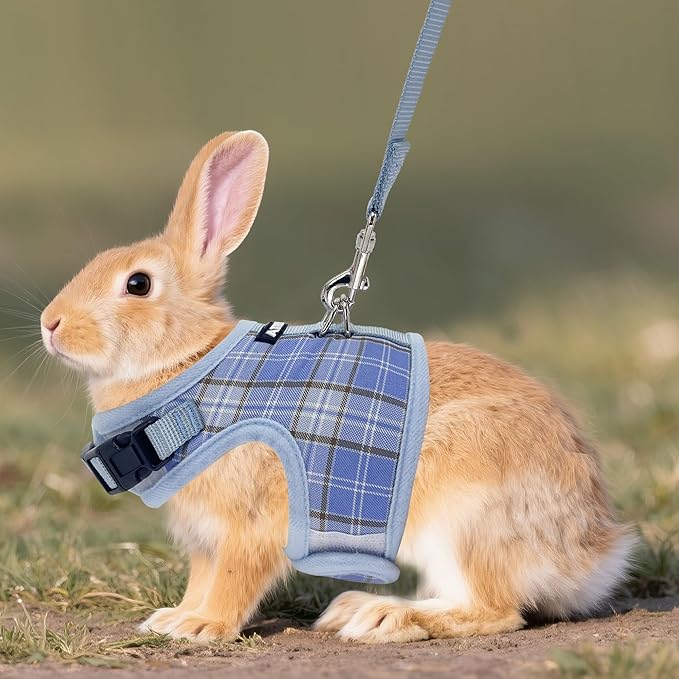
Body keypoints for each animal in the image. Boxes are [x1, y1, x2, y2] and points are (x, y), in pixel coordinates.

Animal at [40, 130, 635, 644]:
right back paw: (354, 607)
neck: (188, 362)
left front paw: (203, 627)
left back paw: (384, 617)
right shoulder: (204, 537)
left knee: (495, 609)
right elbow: (201, 577)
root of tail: (593, 551)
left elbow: (234, 577)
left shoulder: (254, 522)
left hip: (460, 515)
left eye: (137, 284)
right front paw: (174, 617)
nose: (51, 323)